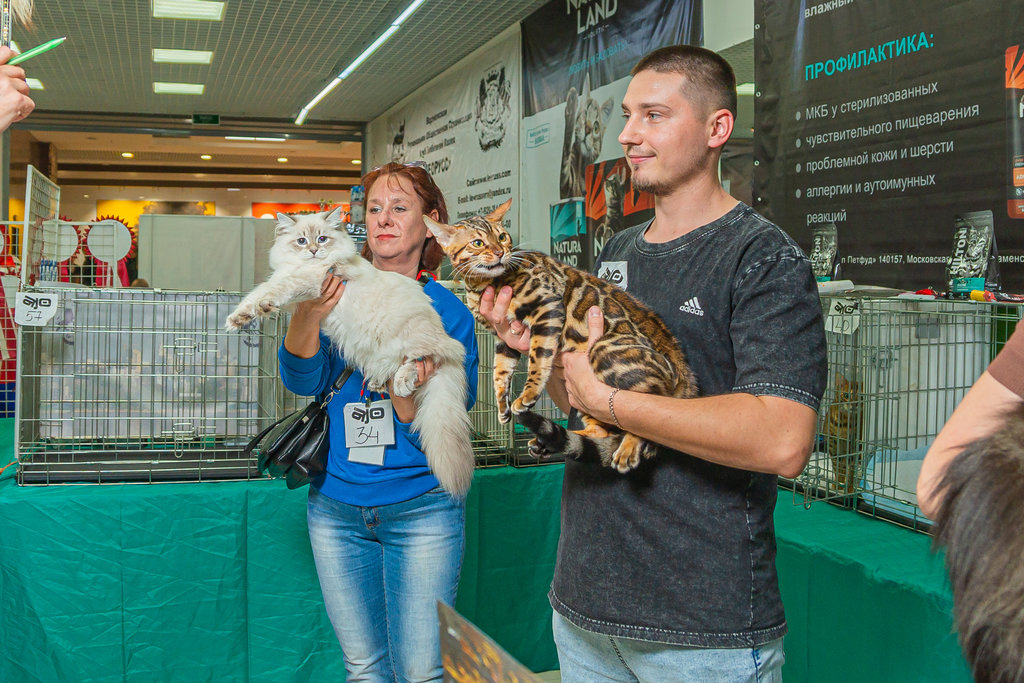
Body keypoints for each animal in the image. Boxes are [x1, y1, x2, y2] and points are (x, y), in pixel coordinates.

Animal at [225, 207, 474, 496]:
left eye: (322, 239)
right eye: (301, 241)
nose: (313, 250)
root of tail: (446, 340)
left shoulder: (309, 280)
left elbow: (274, 290)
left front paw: (255, 310)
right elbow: (257, 295)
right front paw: (240, 317)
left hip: (416, 338)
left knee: (422, 358)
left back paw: (402, 383)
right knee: (392, 365)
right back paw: (380, 382)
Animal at [424, 199, 697, 473]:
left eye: (501, 237)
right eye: (478, 243)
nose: (500, 253)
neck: (480, 286)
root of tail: (682, 372)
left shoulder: (547, 307)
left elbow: (538, 359)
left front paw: (528, 395)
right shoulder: (504, 336)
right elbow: (499, 373)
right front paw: (502, 406)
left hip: (604, 352)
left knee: (648, 405)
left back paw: (629, 447)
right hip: (585, 397)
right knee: (603, 429)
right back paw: (549, 442)